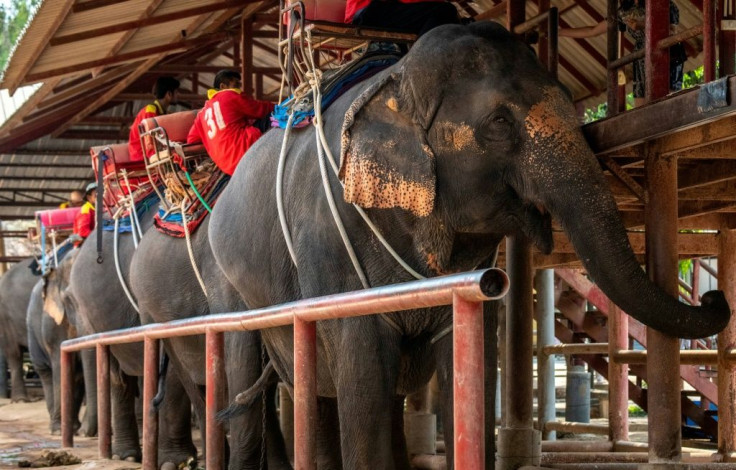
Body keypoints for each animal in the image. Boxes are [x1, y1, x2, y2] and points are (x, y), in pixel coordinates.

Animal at [208, 20, 732, 468]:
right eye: (499, 123)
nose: (714, 296)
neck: (395, 85)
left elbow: (469, 361)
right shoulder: (331, 242)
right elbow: (362, 370)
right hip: (230, 284)